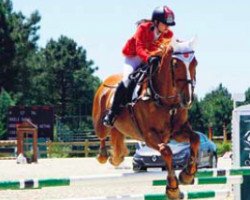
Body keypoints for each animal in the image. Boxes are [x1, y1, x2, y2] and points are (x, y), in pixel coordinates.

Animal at [92, 38, 199, 200]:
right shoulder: (149, 136)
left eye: (195, 63)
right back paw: (103, 155)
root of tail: (105, 82)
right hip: (101, 123)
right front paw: (173, 189)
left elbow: (195, 138)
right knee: (102, 135)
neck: (164, 100)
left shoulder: (178, 131)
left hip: (120, 127)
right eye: (175, 64)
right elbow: (166, 150)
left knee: (117, 142)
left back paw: (116, 157)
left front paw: (187, 175)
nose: (188, 99)